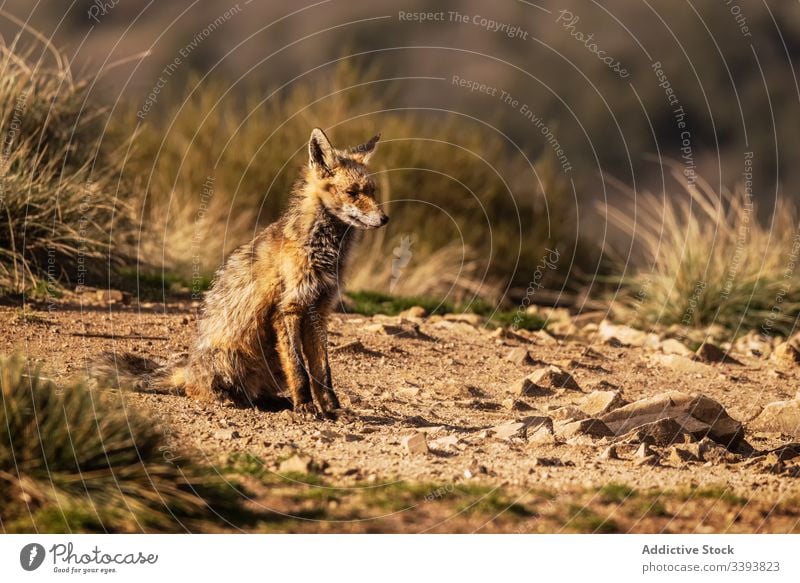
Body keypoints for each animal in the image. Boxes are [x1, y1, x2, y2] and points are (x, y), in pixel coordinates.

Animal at [97, 129, 388, 418]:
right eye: (352, 192)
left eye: (372, 191)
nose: (385, 219)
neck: (323, 251)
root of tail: (189, 367)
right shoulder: (288, 309)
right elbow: (299, 369)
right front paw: (306, 406)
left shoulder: (320, 309)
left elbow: (322, 371)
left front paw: (332, 408)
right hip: (233, 358)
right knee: (201, 390)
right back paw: (227, 398)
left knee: (255, 392)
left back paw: (276, 402)